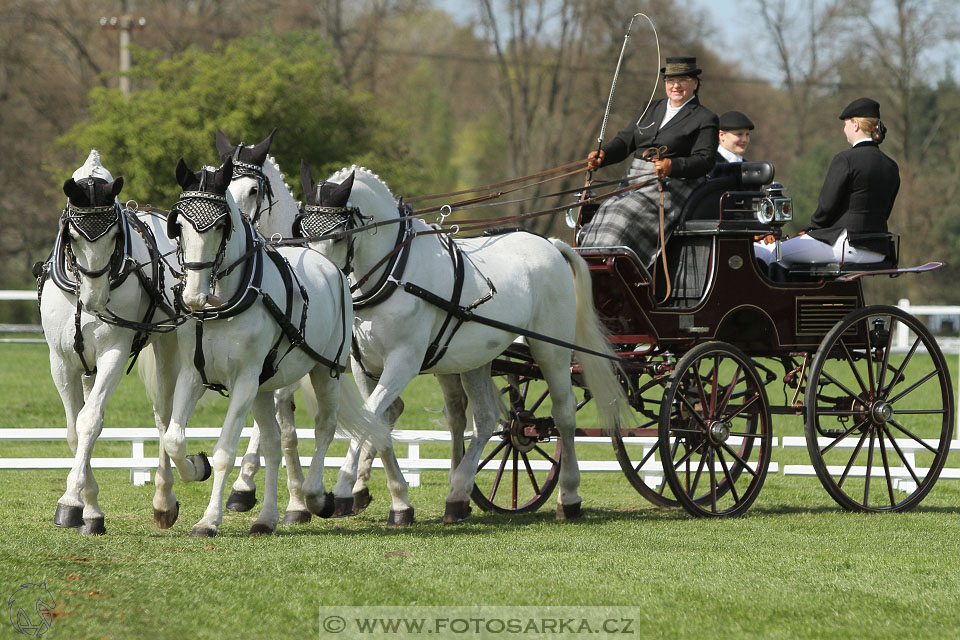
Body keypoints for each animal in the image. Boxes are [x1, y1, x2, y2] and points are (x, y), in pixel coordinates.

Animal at [39, 148, 196, 532]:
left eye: (114, 237)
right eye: (73, 236)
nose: (95, 300)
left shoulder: (114, 352)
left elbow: (90, 421)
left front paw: (70, 501)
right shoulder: (60, 361)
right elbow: (74, 430)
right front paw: (89, 508)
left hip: (168, 346)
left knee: (164, 416)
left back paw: (164, 501)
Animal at [161, 156, 408, 536]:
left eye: (221, 225)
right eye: (179, 226)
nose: (194, 296)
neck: (223, 304)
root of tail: (330, 265)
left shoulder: (244, 380)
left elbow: (224, 452)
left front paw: (209, 519)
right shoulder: (194, 375)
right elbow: (174, 440)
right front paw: (195, 466)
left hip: (325, 371)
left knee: (325, 426)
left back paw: (317, 496)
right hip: (263, 389)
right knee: (275, 444)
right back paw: (266, 517)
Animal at [296, 162, 632, 524]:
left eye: (337, 235)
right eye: (301, 233)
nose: (318, 286)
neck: (393, 273)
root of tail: (550, 244)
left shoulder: (403, 362)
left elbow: (371, 417)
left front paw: (341, 488)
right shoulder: (364, 367)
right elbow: (376, 422)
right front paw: (395, 501)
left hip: (551, 350)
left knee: (564, 413)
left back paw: (568, 496)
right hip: (475, 359)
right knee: (484, 419)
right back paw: (458, 494)